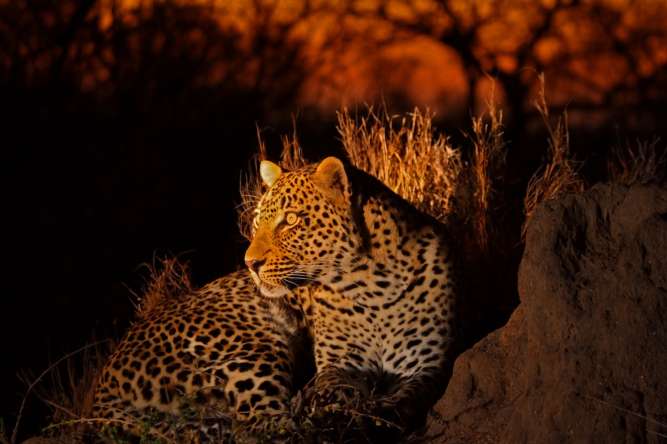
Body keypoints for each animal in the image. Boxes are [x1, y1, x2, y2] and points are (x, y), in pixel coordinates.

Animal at [244, 156, 458, 432]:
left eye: (290, 219)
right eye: (257, 222)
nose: (250, 263)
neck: (374, 289)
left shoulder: (426, 366)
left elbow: (406, 399)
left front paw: (374, 415)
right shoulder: (341, 363)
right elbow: (333, 387)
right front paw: (329, 410)